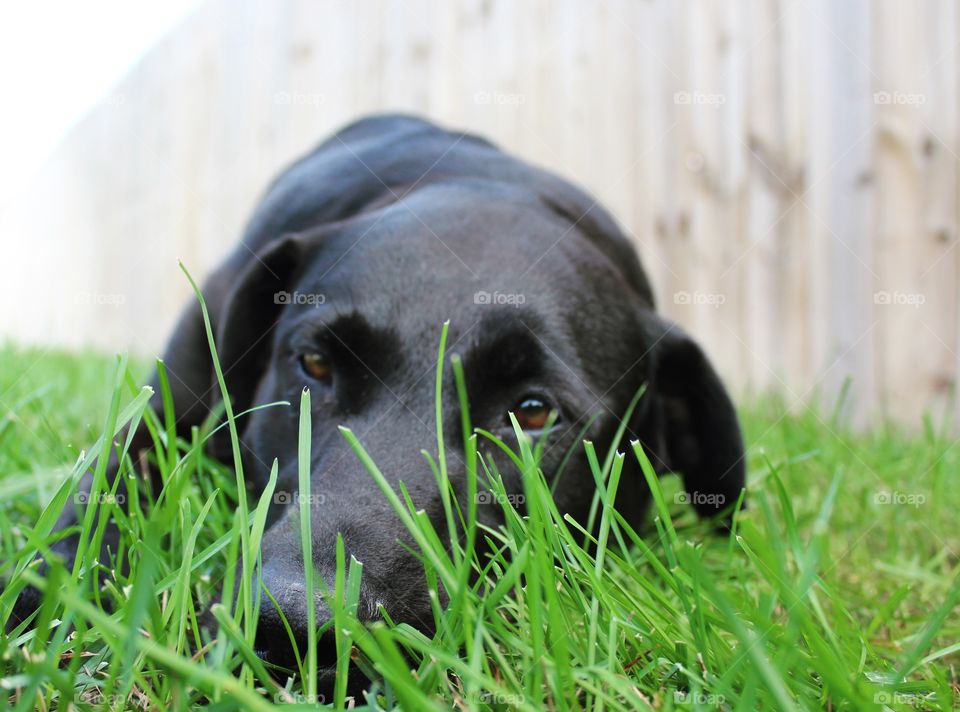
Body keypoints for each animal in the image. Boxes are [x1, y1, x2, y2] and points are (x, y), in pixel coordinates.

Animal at [13, 114, 744, 688]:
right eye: (314, 363)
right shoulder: (163, 415)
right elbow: (102, 493)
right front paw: (44, 597)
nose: (297, 626)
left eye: (533, 413)